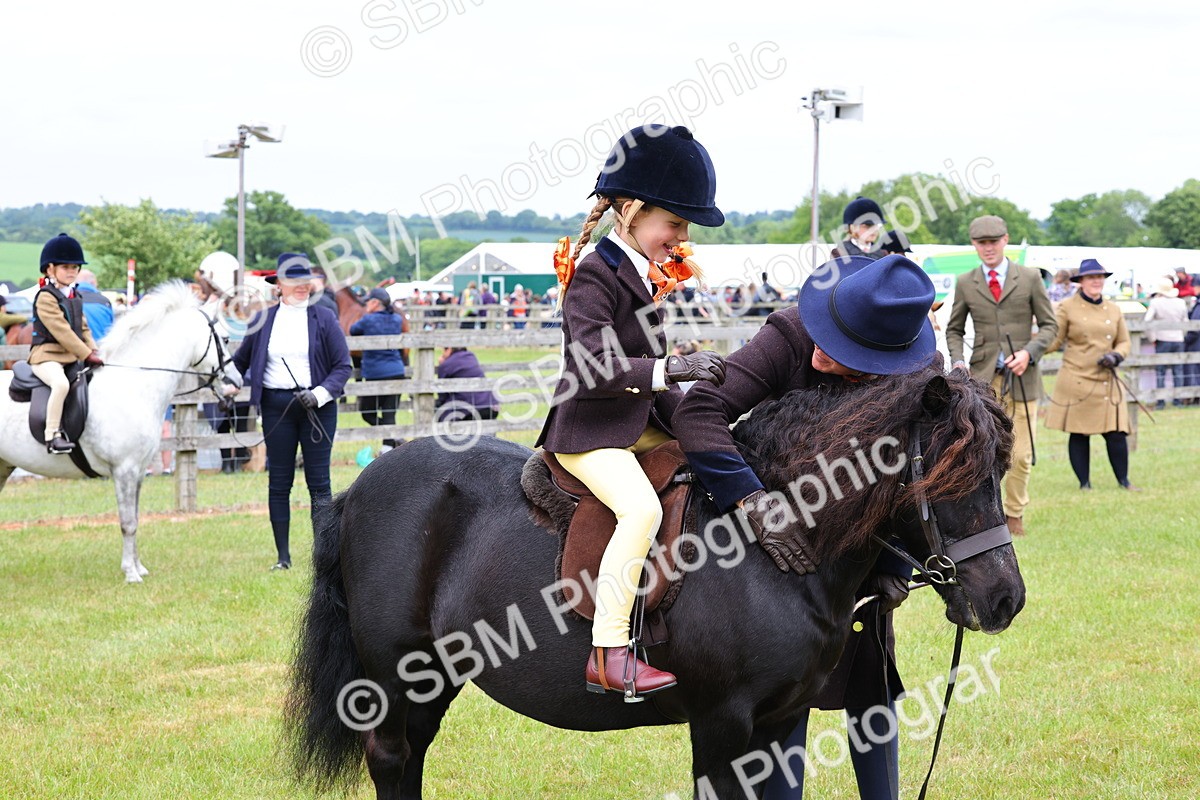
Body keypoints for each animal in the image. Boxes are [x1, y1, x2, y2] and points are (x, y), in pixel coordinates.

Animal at [0, 282, 243, 582]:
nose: (236, 383)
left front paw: (138, 567)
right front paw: (131, 573)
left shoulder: (137, 472)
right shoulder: (124, 470)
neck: (133, 384)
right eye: (224, 338)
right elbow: (127, 522)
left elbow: (136, 518)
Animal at [286, 366, 1027, 799]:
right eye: (948, 478)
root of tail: (361, 488)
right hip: (394, 677)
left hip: (434, 679)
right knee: (391, 759)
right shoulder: (722, 725)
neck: (770, 546)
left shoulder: (780, 720)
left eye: (1001, 467)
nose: (1004, 599)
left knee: (411, 759)